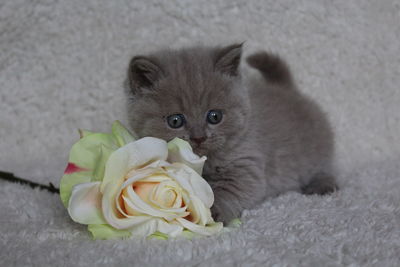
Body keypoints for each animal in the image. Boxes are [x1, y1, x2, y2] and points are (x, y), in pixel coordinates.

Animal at [124, 44, 334, 224]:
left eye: (215, 116)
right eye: (175, 121)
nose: (199, 137)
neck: (204, 163)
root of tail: (287, 88)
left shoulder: (245, 166)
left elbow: (229, 192)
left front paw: (212, 213)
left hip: (318, 152)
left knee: (325, 168)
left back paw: (322, 187)